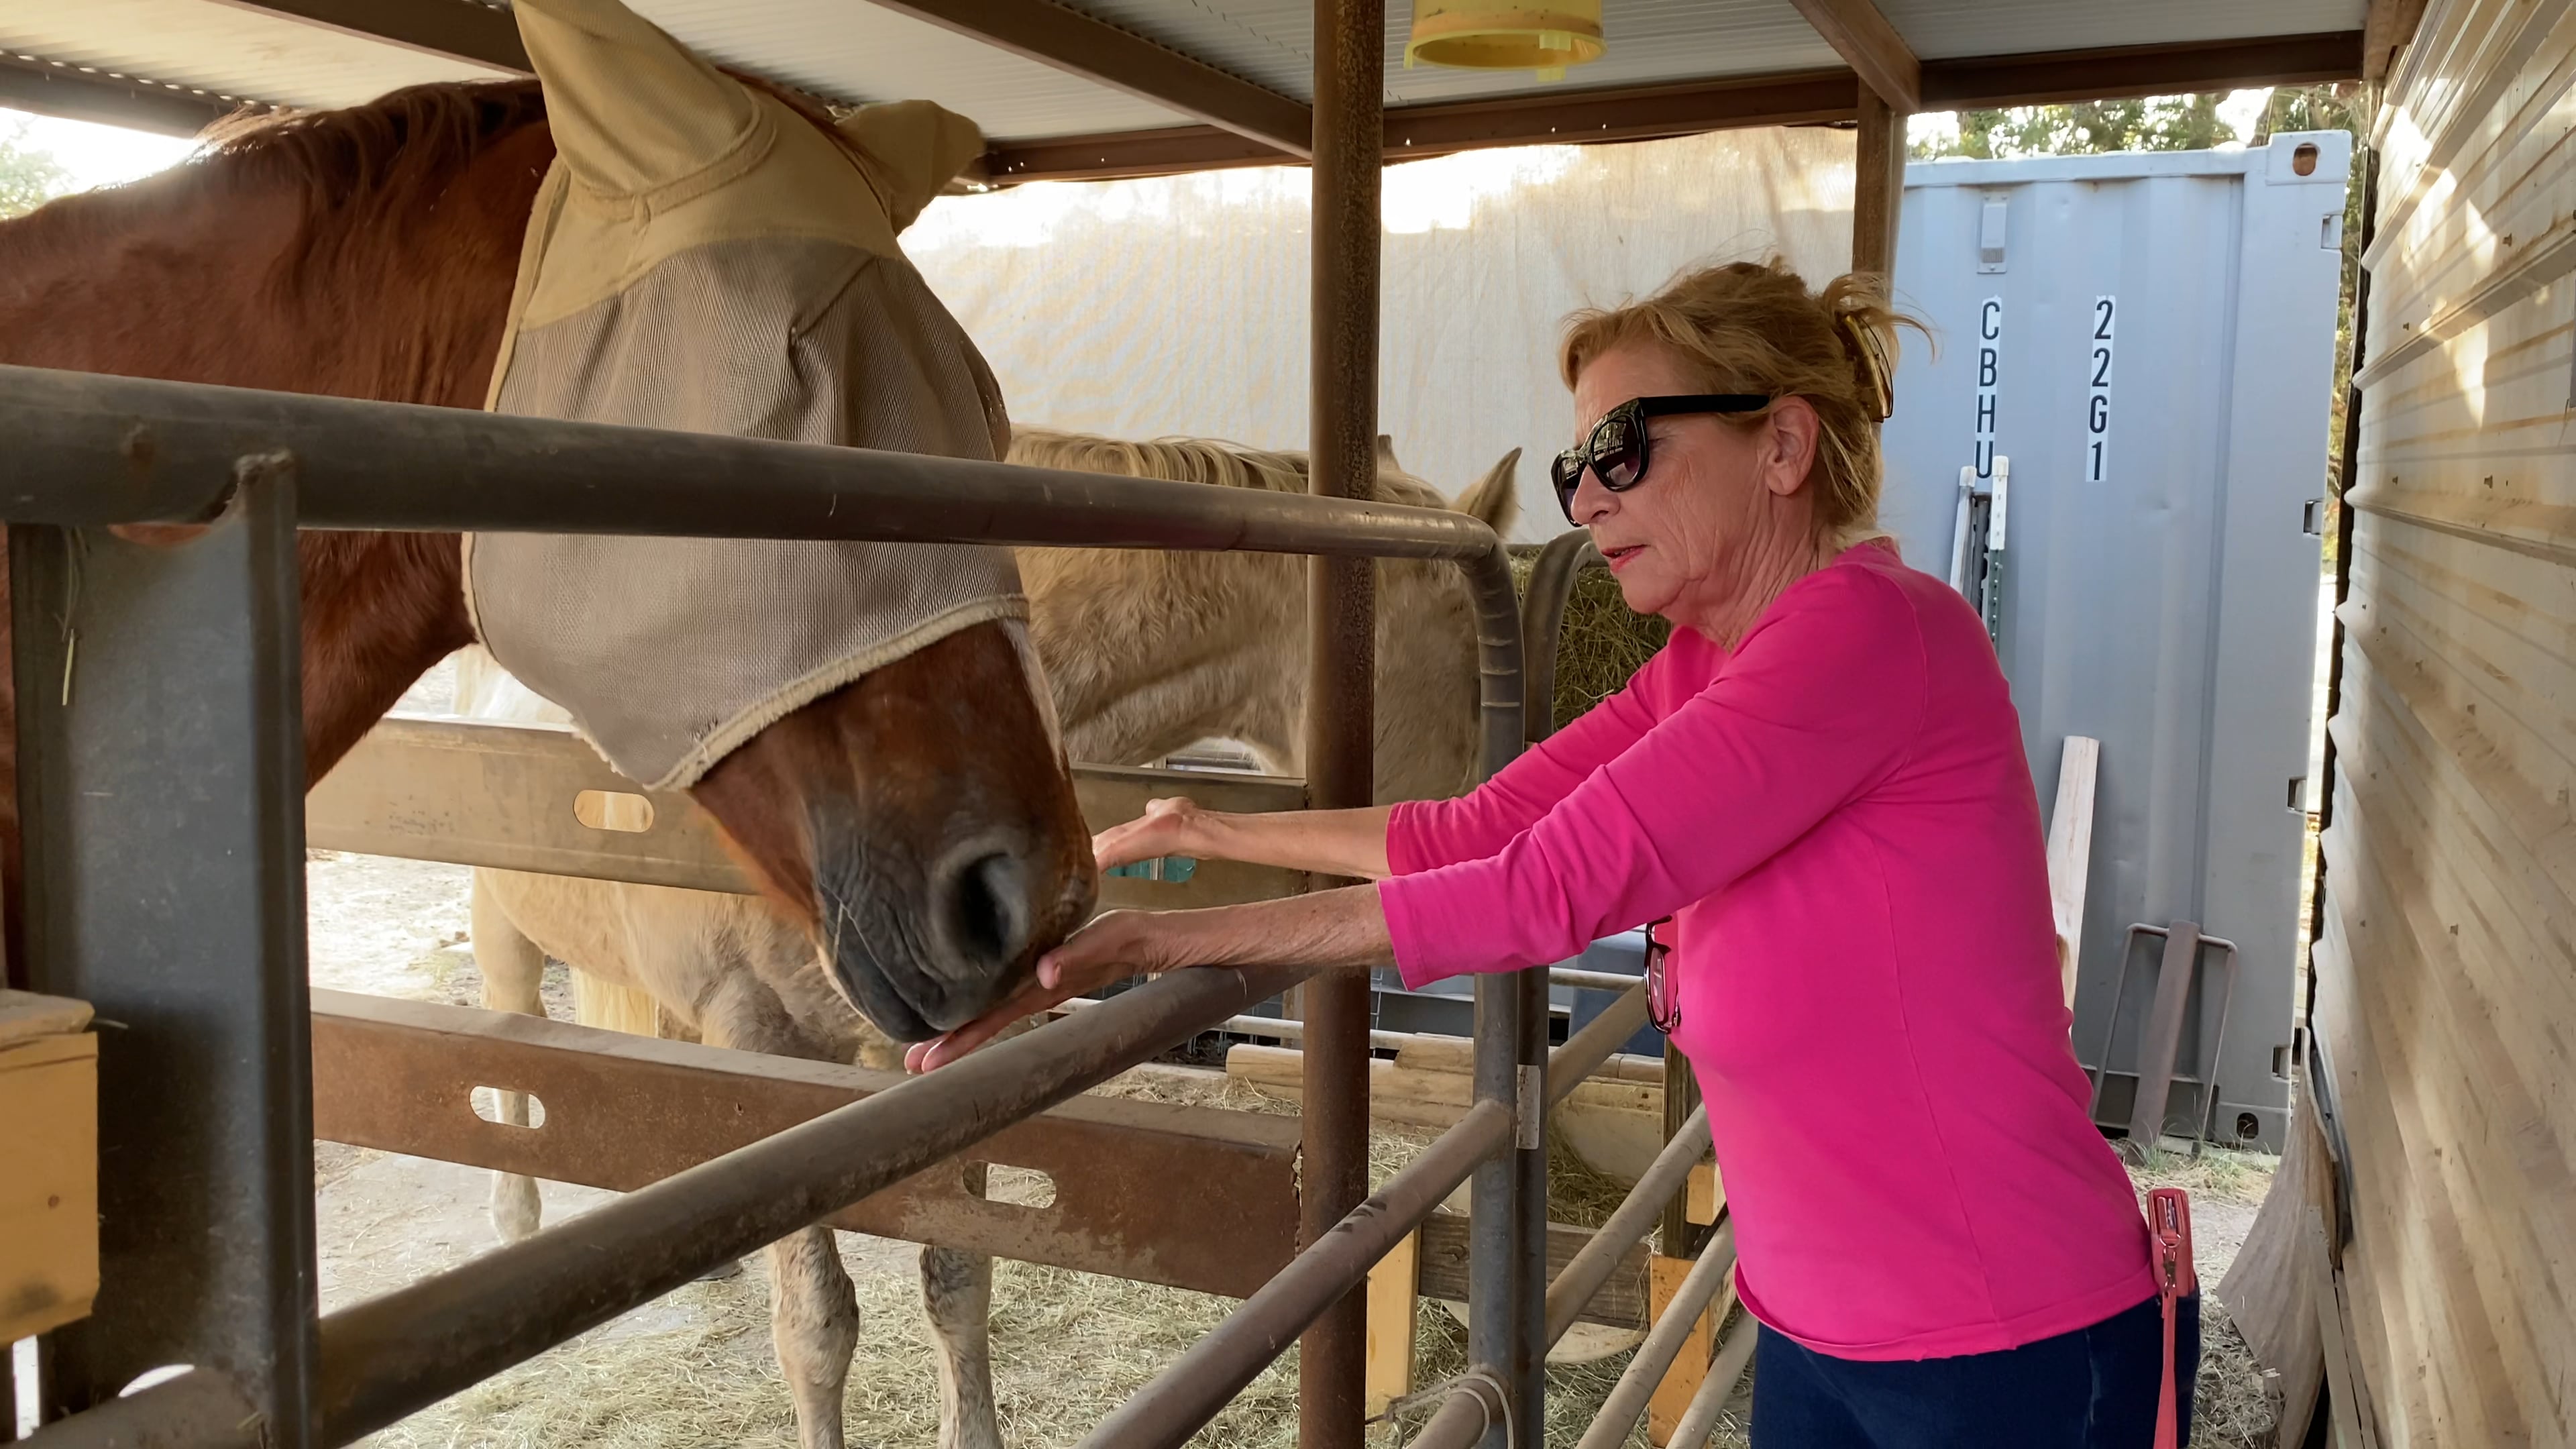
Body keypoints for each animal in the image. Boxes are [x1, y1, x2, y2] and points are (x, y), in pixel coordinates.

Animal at [0, 78, 1096, 1440]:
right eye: (789, 404)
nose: (1032, 892)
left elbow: (958, 1269)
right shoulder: (758, 1042)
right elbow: (819, 1320)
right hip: (510, 945)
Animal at [454, 427, 1517, 1448]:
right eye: (1473, 673)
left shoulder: (958, 1057)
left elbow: (960, 1277)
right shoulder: (761, 1046)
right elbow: (816, 1325)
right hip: (505, 934)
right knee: (510, 1050)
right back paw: (514, 1223)